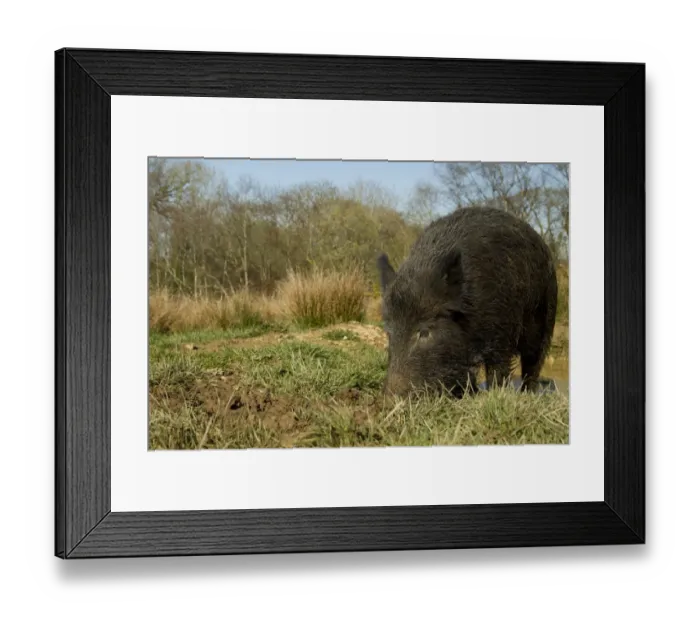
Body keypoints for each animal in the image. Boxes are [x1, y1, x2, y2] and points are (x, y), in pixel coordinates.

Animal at [377, 206, 558, 398]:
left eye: (424, 332)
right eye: (389, 331)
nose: (389, 398)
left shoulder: (503, 329)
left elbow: (498, 369)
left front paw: (493, 394)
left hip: (545, 318)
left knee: (534, 361)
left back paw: (527, 393)